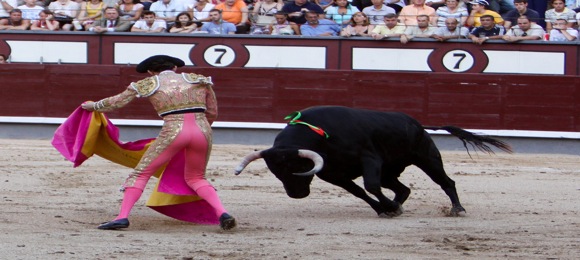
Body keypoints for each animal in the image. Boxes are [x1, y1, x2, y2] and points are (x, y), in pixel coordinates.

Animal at [233, 105, 510, 217]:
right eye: (276, 172)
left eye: (298, 166)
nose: (296, 195)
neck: (321, 135)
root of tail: (418, 124)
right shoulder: (333, 174)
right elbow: (360, 192)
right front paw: (384, 209)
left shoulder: (370, 159)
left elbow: (370, 186)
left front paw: (387, 207)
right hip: (391, 171)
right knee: (403, 189)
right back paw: (397, 206)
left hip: (427, 157)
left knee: (446, 182)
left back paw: (457, 209)